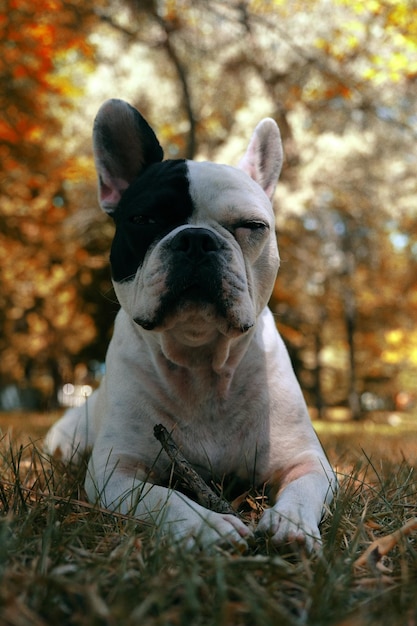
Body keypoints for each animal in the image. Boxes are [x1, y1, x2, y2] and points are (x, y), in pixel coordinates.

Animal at [44, 100, 334, 548]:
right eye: (144, 219)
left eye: (252, 226)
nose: (196, 239)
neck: (201, 364)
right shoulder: (115, 470)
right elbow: (163, 498)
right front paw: (208, 526)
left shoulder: (307, 459)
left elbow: (305, 487)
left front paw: (292, 523)